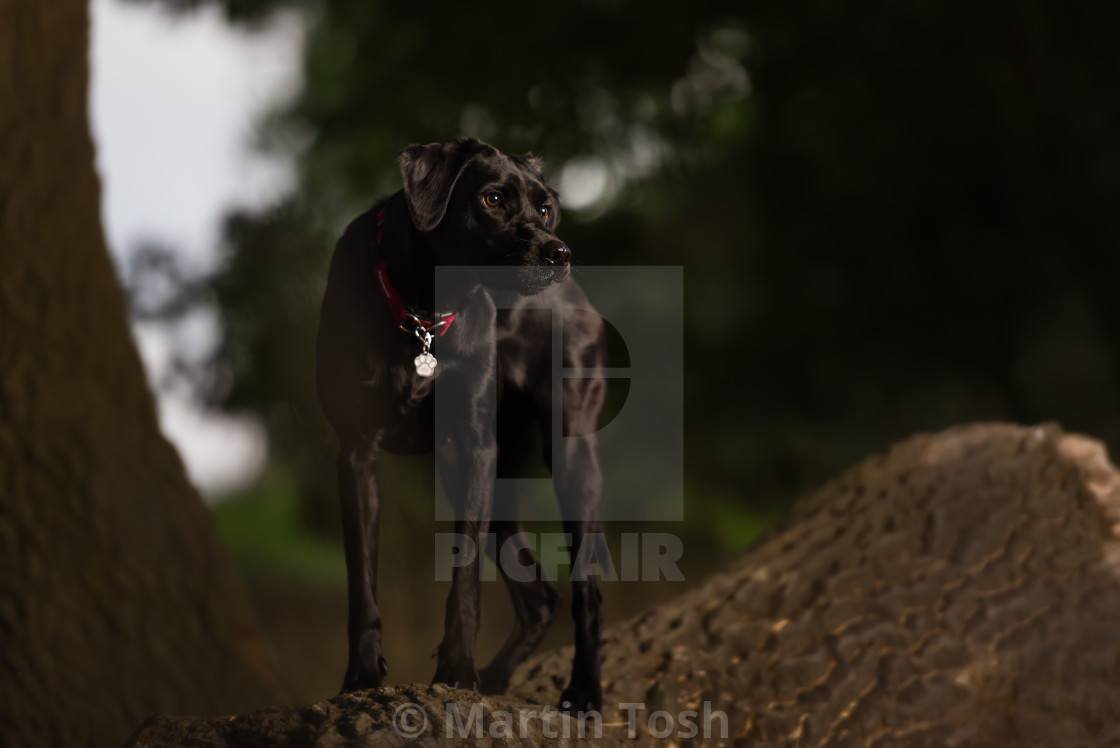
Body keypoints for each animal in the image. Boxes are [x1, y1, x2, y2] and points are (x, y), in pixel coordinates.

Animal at [318, 136, 604, 712]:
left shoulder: (473, 448)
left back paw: (583, 691)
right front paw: (361, 676)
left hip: (568, 460)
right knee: (540, 596)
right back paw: (499, 678)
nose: (560, 253)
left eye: (544, 207)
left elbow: (465, 579)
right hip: (486, 478)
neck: (425, 314)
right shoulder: (357, 453)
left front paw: (457, 673)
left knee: (586, 588)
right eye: (493, 199)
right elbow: (362, 582)